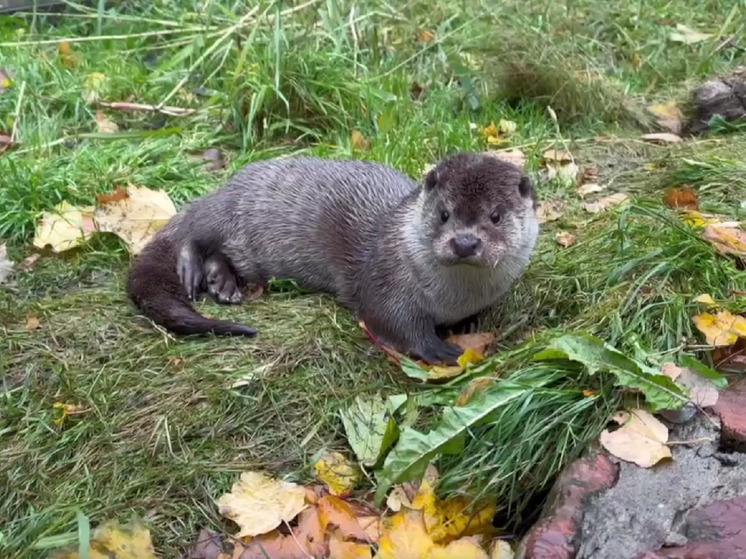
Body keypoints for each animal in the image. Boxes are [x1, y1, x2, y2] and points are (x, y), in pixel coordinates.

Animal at [126, 151, 536, 366]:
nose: (465, 243)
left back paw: (222, 284)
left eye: (495, 216)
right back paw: (192, 267)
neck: (452, 298)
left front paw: (467, 327)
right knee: (194, 230)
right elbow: (391, 319)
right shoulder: (384, 277)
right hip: (229, 205)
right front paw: (438, 348)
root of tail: (226, 183)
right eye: (444, 214)